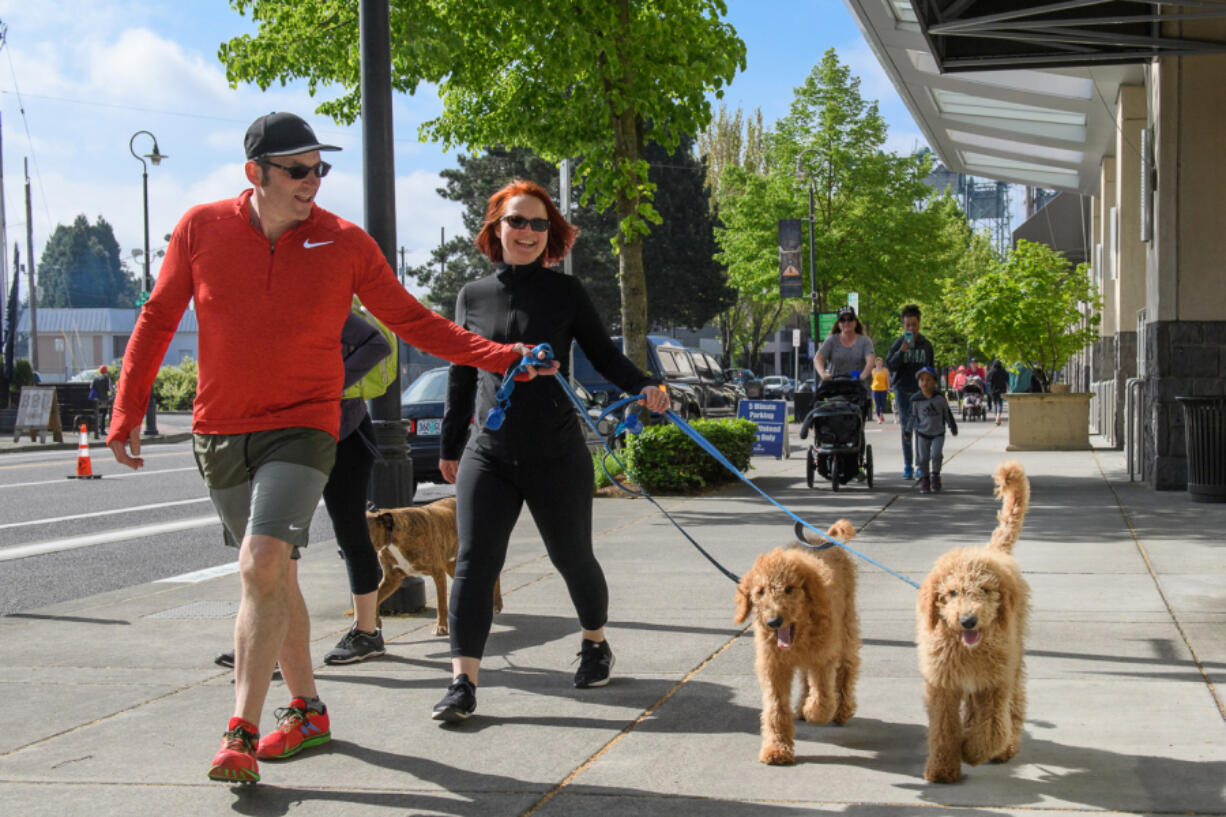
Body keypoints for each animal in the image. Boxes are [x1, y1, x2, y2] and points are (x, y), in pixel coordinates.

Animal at [362, 493, 502, 632]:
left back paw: (497, 603)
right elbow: (375, 599)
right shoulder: (391, 580)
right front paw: (375, 622)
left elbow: (441, 603)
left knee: (495, 576)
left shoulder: (437, 573)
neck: (393, 536)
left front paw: (441, 626)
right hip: (451, 565)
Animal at [735, 517, 863, 760]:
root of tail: (821, 539)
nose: (774, 621)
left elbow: (823, 695)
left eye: (789, 589)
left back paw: (840, 710)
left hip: (846, 628)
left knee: (846, 668)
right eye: (761, 591)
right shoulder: (773, 665)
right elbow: (775, 708)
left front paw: (816, 712)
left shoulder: (823, 658)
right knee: (805, 678)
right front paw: (776, 748)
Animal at [917, 458, 1029, 785]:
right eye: (951, 593)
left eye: (985, 590)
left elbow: (992, 728)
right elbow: (943, 729)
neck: (967, 650)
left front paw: (973, 750)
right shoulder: (943, 684)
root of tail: (992, 551)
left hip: (1013, 662)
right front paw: (943, 769)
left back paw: (1006, 748)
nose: (968, 620)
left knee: (1014, 707)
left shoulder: (994, 683)